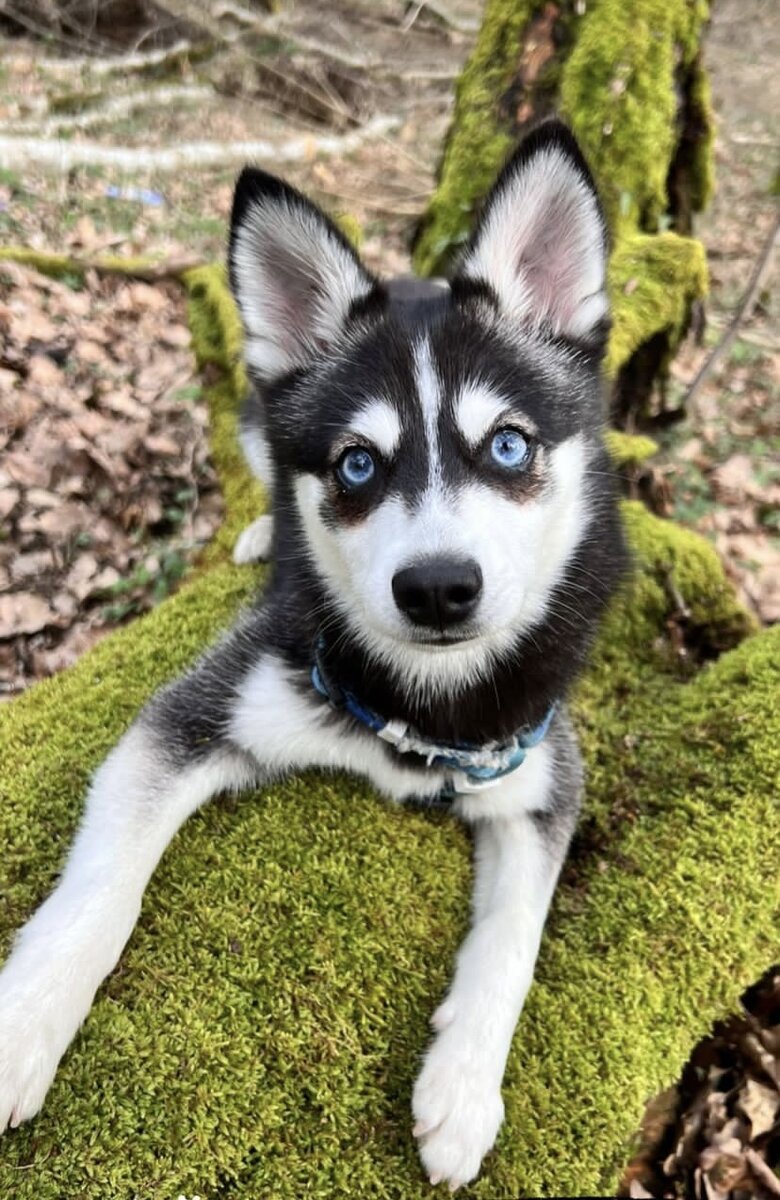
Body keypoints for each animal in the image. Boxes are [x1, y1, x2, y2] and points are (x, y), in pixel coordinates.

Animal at [0, 121, 624, 1190]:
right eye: (357, 465)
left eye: (508, 446)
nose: (438, 587)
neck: (420, 707)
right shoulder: (201, 705)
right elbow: (100, 892)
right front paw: (22, 1027)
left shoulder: (541, 767)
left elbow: (516, 938)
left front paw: (465, 1091)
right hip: (261, 417)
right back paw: (261, 533)